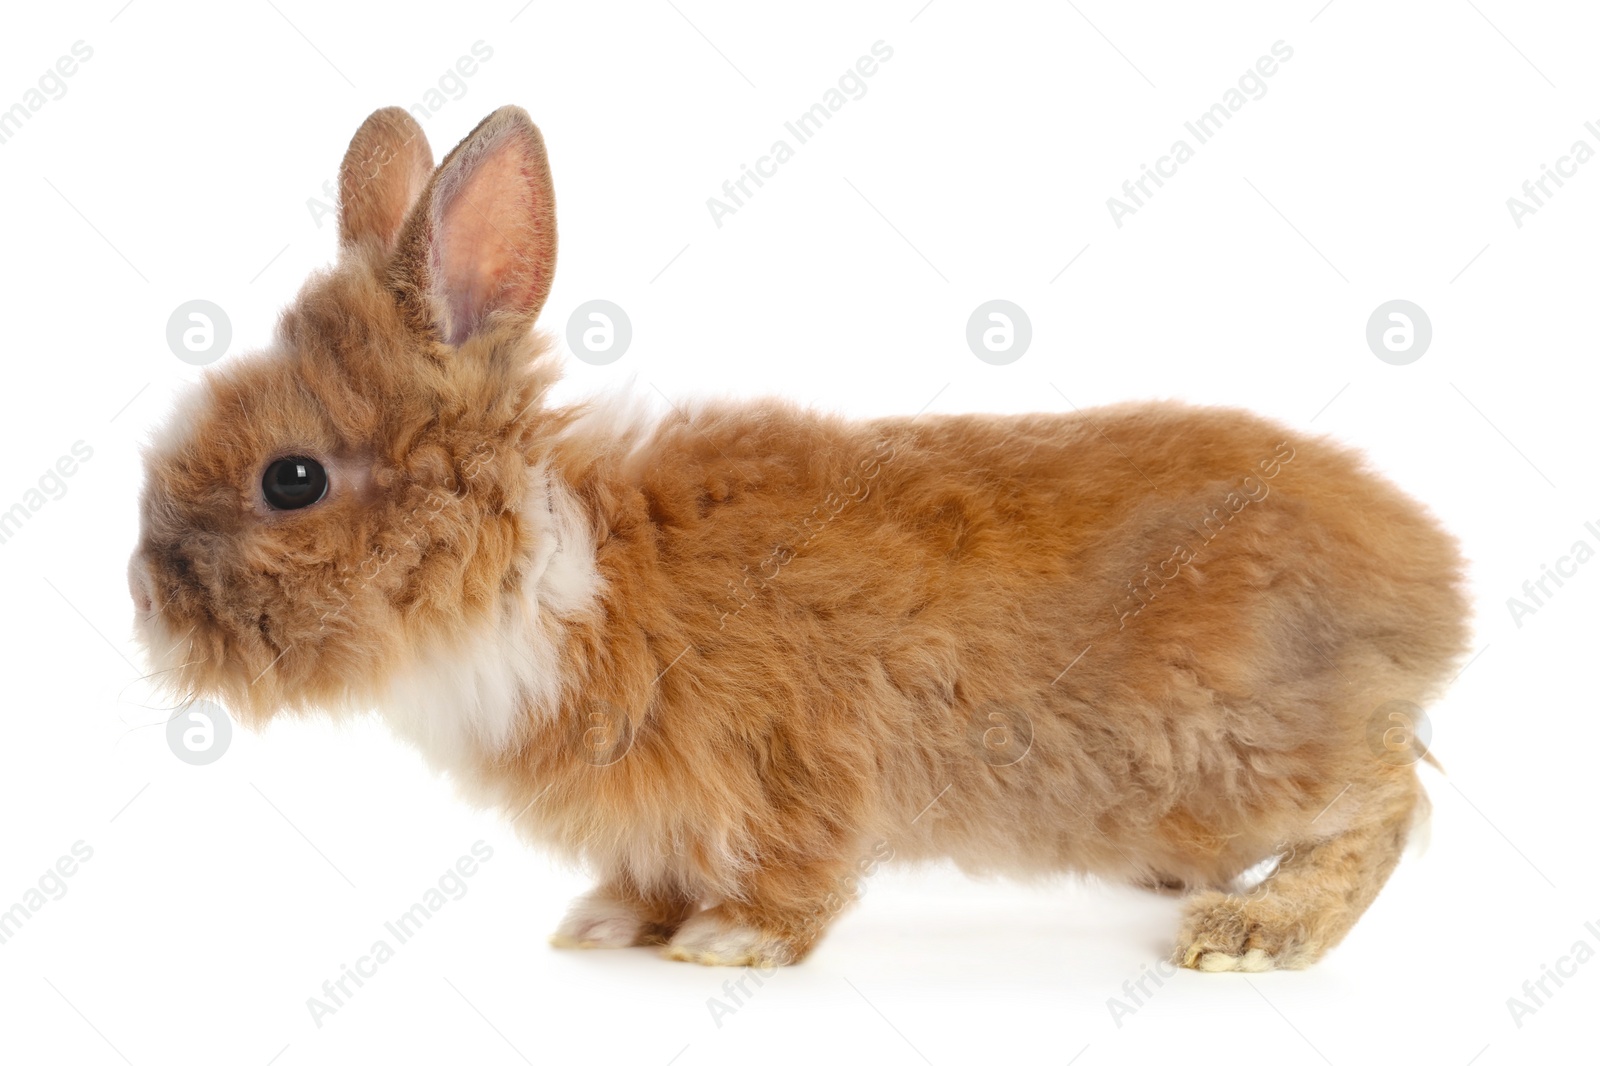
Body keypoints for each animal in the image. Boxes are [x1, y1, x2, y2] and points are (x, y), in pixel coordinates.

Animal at [131, 104, 1465, 966]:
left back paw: (1253, 931)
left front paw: (726, 944)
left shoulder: (795, 766)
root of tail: (1429, 582)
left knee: (1388, 806)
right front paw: (612, 925)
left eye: (292, 478)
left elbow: (795, 878)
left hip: (1244, 747)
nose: (145, 596)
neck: (551, 572)